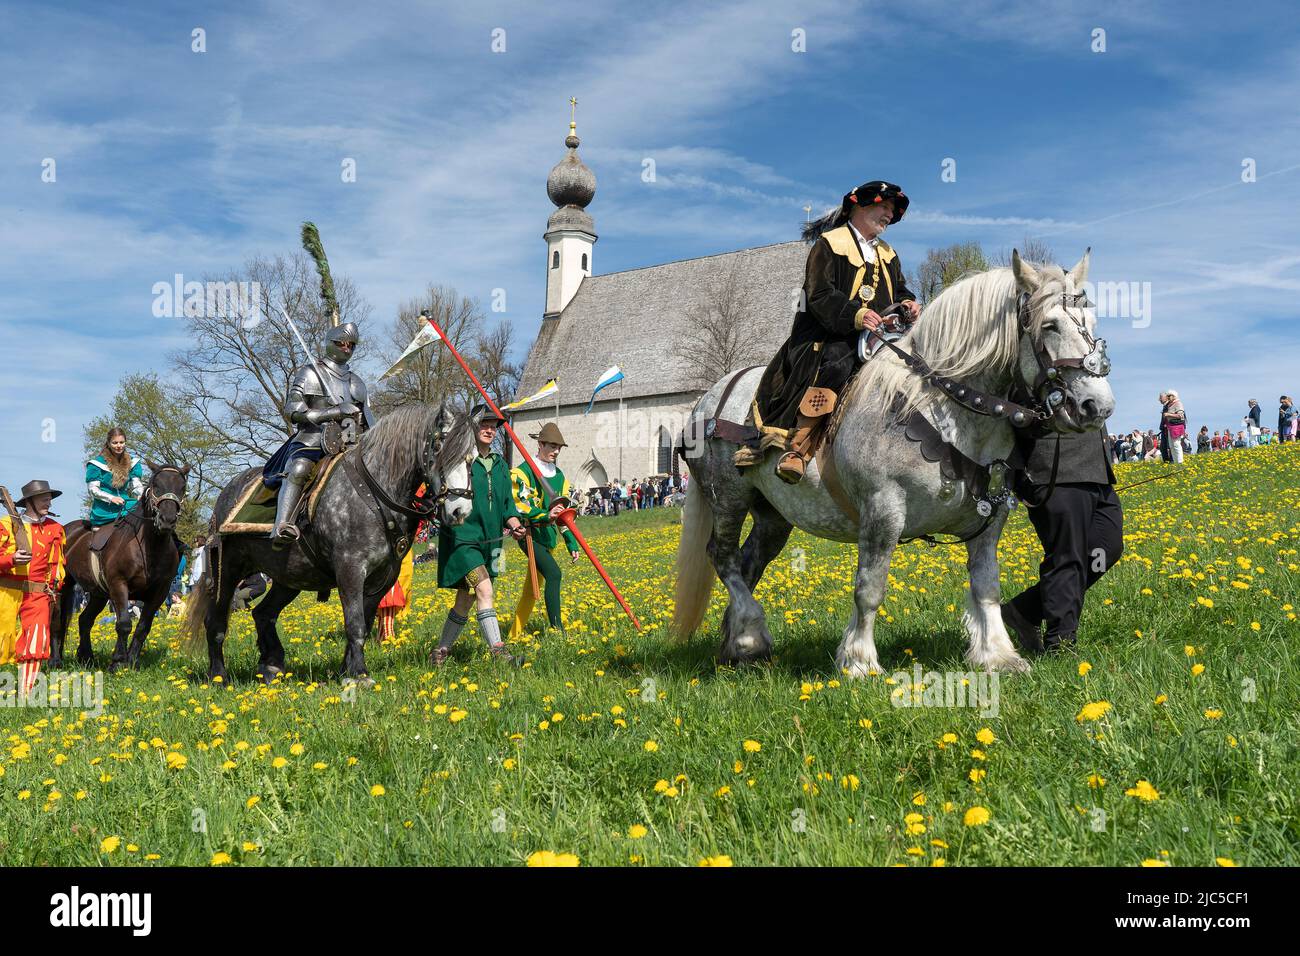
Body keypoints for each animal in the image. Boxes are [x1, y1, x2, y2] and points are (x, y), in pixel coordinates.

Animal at [52, 460, 189, 671]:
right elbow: (124, 624)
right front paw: (117, 661)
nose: (167, 520)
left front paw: (131, 661)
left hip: (98, 594)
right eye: (156, 485)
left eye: (182, 487)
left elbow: (143, 627)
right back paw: (55, 660)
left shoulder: (159, 592)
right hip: (63, 586)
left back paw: (86, 657)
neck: (149, 549)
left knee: (85, 620)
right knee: (57, 621)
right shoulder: (119, 586)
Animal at [676, 251, 1112, 676]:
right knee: (723, 556)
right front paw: (860, 660)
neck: (943, 411)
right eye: (1051, 325)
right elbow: (869, 588)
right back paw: (749, 636)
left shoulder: (990, 519)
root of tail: (707, 400)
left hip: (773, 516)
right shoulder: (883, 510)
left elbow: (987, 586)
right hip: (728, 499)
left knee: (749, 562)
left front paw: (998, 655)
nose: (1097, 406)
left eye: (1091, 323)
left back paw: (739, 643)